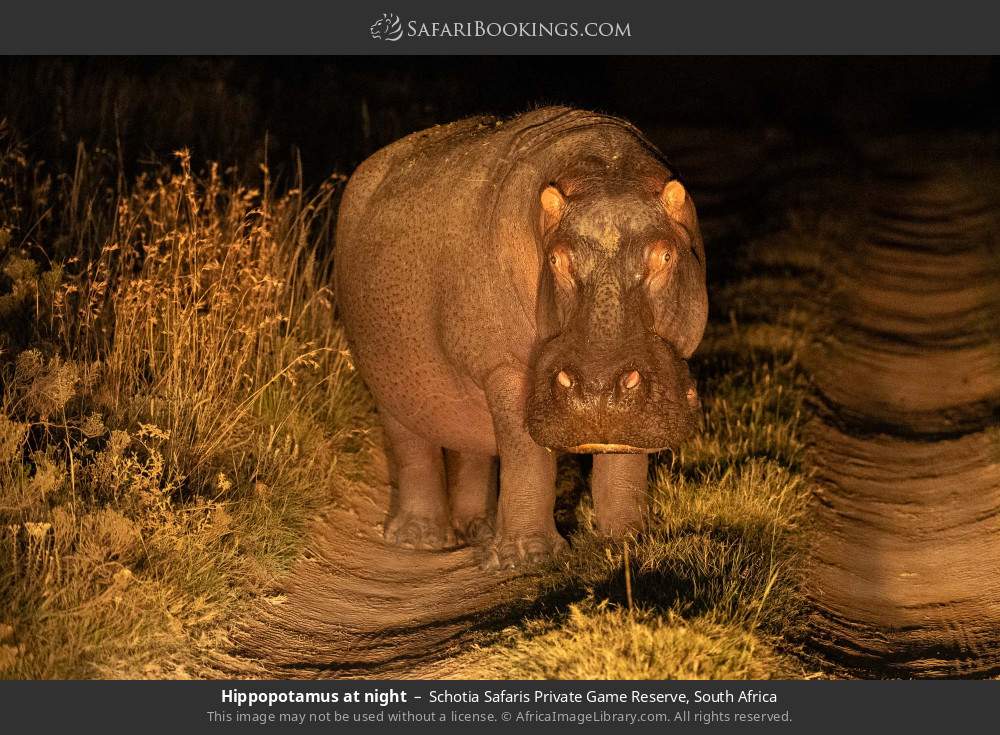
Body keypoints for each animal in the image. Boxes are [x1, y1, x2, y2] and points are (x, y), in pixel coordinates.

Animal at [335, 106, 707, 569]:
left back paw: (478, 533)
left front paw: (629, 540)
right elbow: (526, 457)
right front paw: (527, 557)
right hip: (391, 387)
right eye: (556, 259)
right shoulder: (506, 368)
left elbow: (624, 460)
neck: (609, 176)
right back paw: (419, 540)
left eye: (666, 254)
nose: (598, 389)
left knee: (472, 446)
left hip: (460, 390)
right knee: (413, 451)